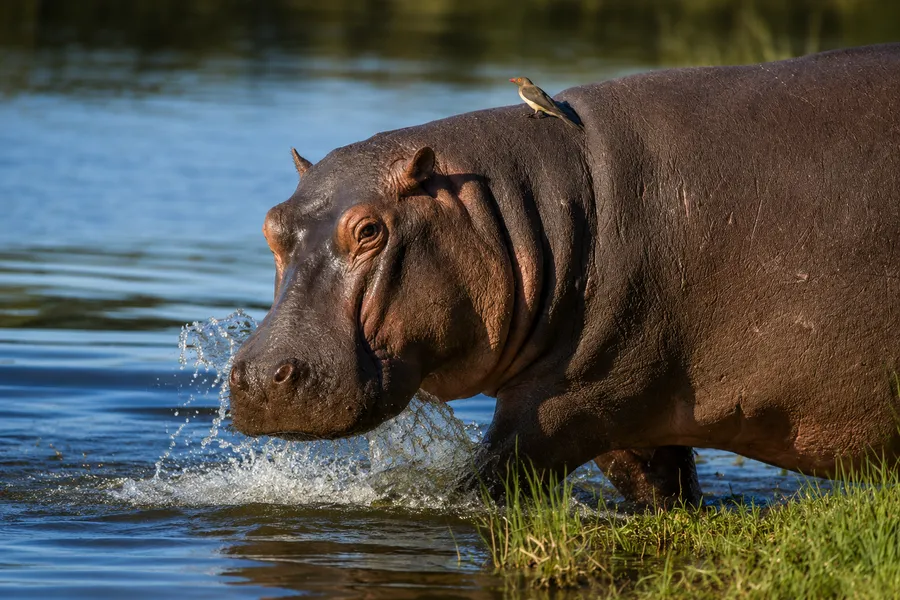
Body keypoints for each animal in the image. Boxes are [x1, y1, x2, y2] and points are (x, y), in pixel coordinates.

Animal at [229, 44, 900, 505]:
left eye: (369, 230)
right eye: (270, 223)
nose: (260, 373)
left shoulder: (571, 400)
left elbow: (487, 480)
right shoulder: (634, 415)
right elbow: (664, 489)